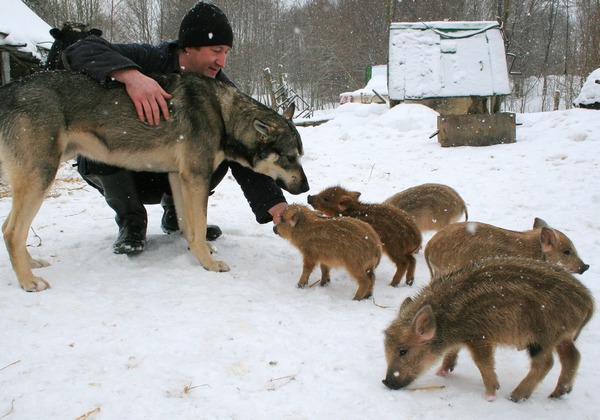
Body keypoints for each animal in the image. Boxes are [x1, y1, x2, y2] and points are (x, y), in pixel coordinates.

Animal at [0, 70, 310, 290]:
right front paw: (208, 263)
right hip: (41, 176)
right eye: (289, 157)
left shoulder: (178, 177)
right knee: (12, 231)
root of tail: (7, 90)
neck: (223, 115)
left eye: (300, 155)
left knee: (12, 229)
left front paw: (197, 249)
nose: (306, 188)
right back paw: (28, 281)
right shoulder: (196, 177)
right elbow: (198, 225)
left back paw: (30, 264)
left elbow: (188, 226)